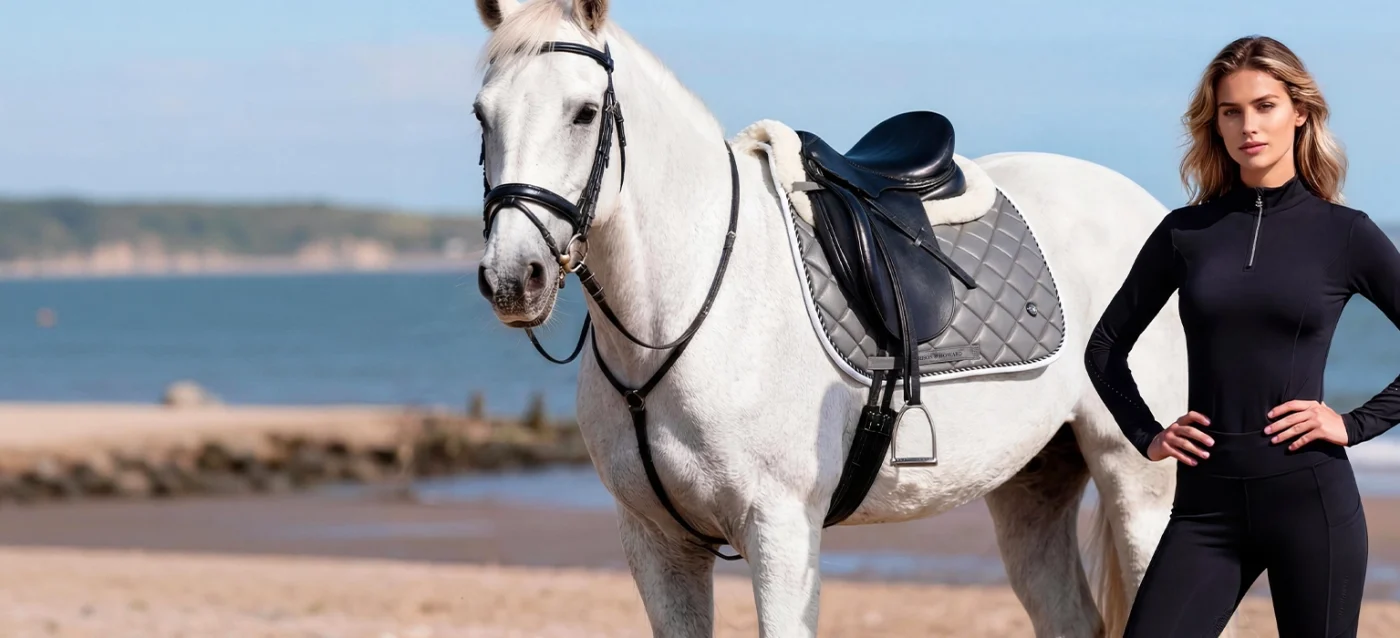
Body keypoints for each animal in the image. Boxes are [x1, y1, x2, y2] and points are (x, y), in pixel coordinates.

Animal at [470, 1, 1187, 635]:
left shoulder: (781, 529)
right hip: (1031, 483)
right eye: (482, 115)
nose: (513, 279)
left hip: (1138, 479)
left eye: (584, 112)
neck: (679, 318)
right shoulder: (656, 543)